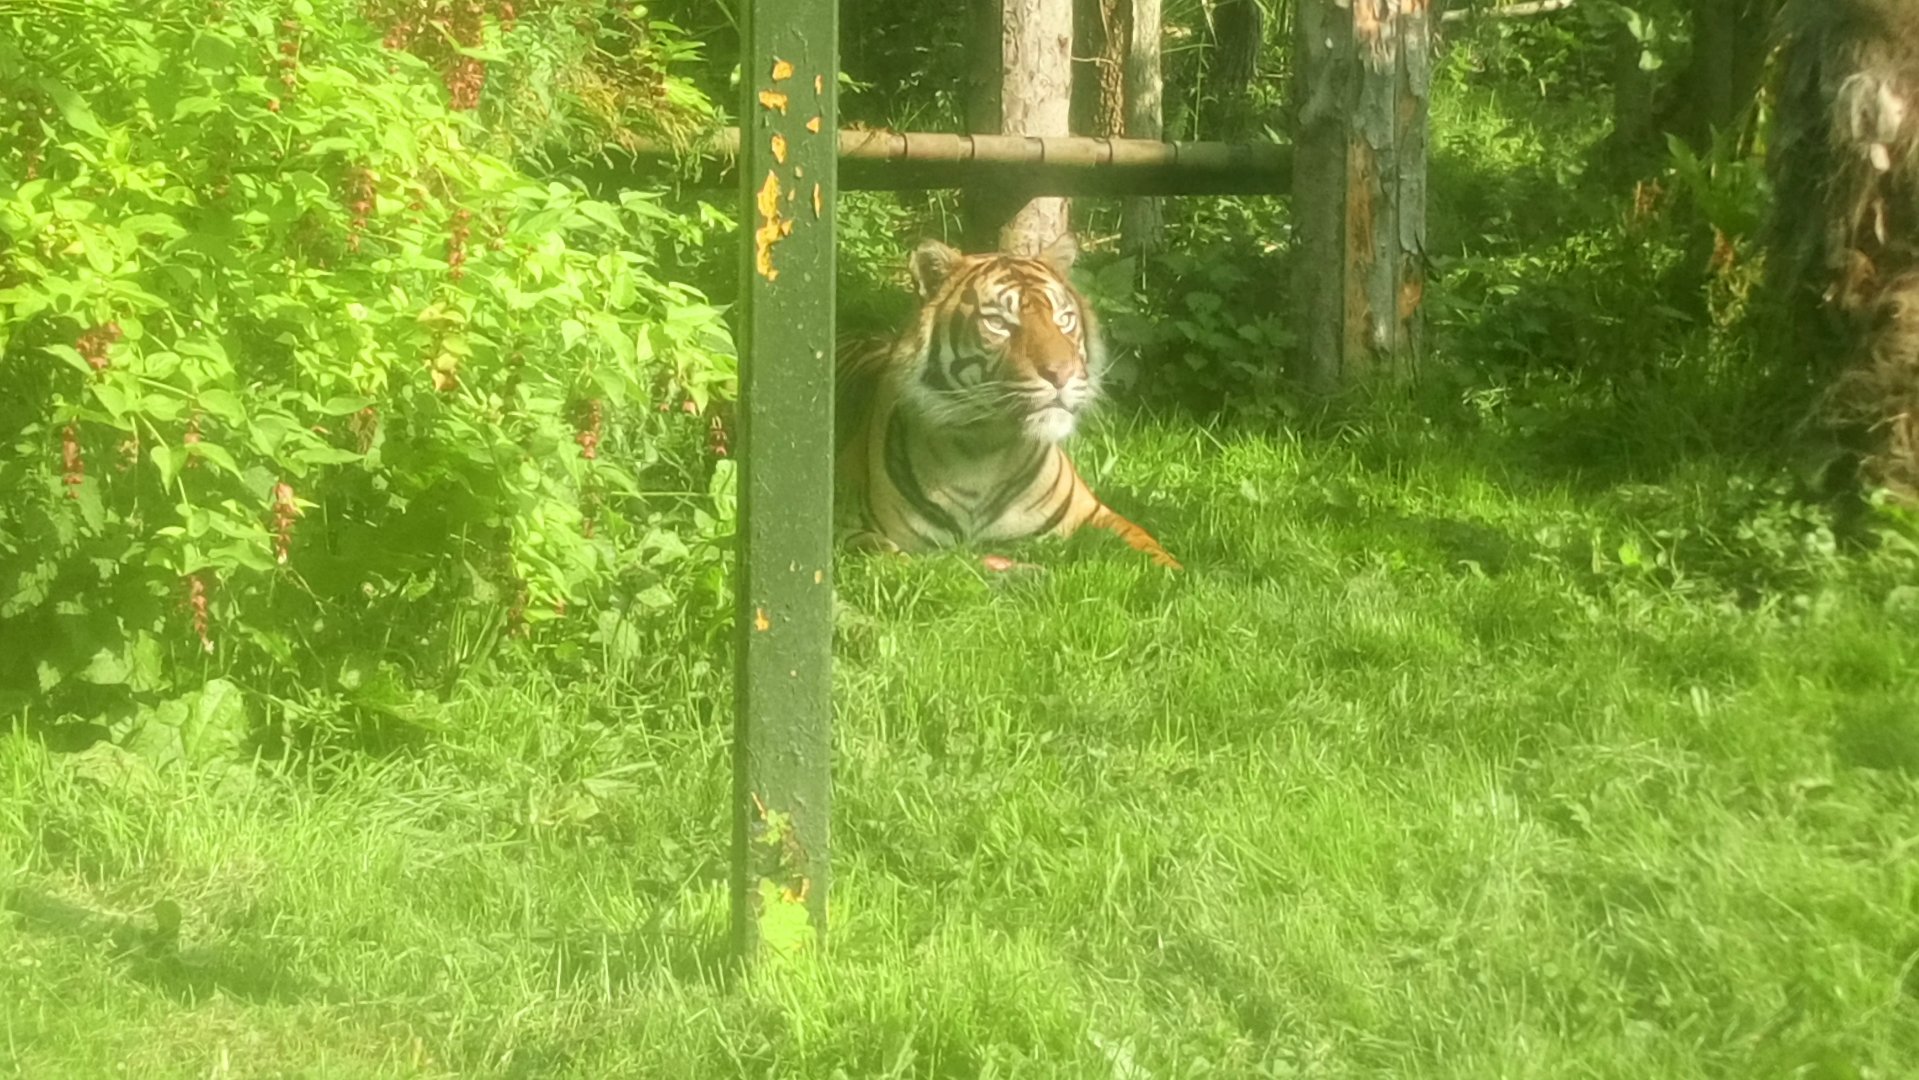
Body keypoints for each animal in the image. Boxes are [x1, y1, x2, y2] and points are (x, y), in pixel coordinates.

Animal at [834, 235, 1181, 570]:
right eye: (998, 323)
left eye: (1064, 319)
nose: (1063, 373)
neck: (983, 453)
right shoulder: (848, 529)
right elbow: (890, 558)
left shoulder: (1095, 514)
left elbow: (1154, 553)